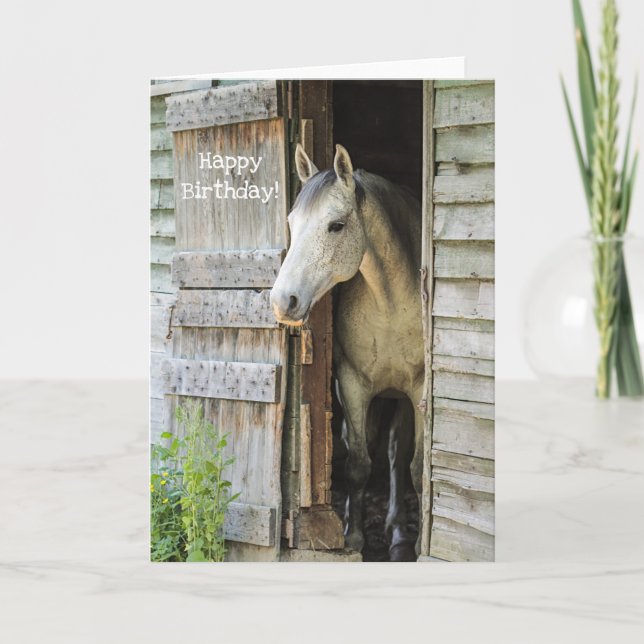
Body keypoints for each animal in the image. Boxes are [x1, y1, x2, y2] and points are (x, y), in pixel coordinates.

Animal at [270, 143, 425, 560]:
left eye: (336, 226)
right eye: (291, 222)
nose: (282, 301)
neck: (390, 304)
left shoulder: (419, 390)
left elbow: (417, 468)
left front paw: (417, 543)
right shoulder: (352, 384)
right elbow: (357, 464)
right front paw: (352, 537)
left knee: (396, 455)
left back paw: (399, 533)